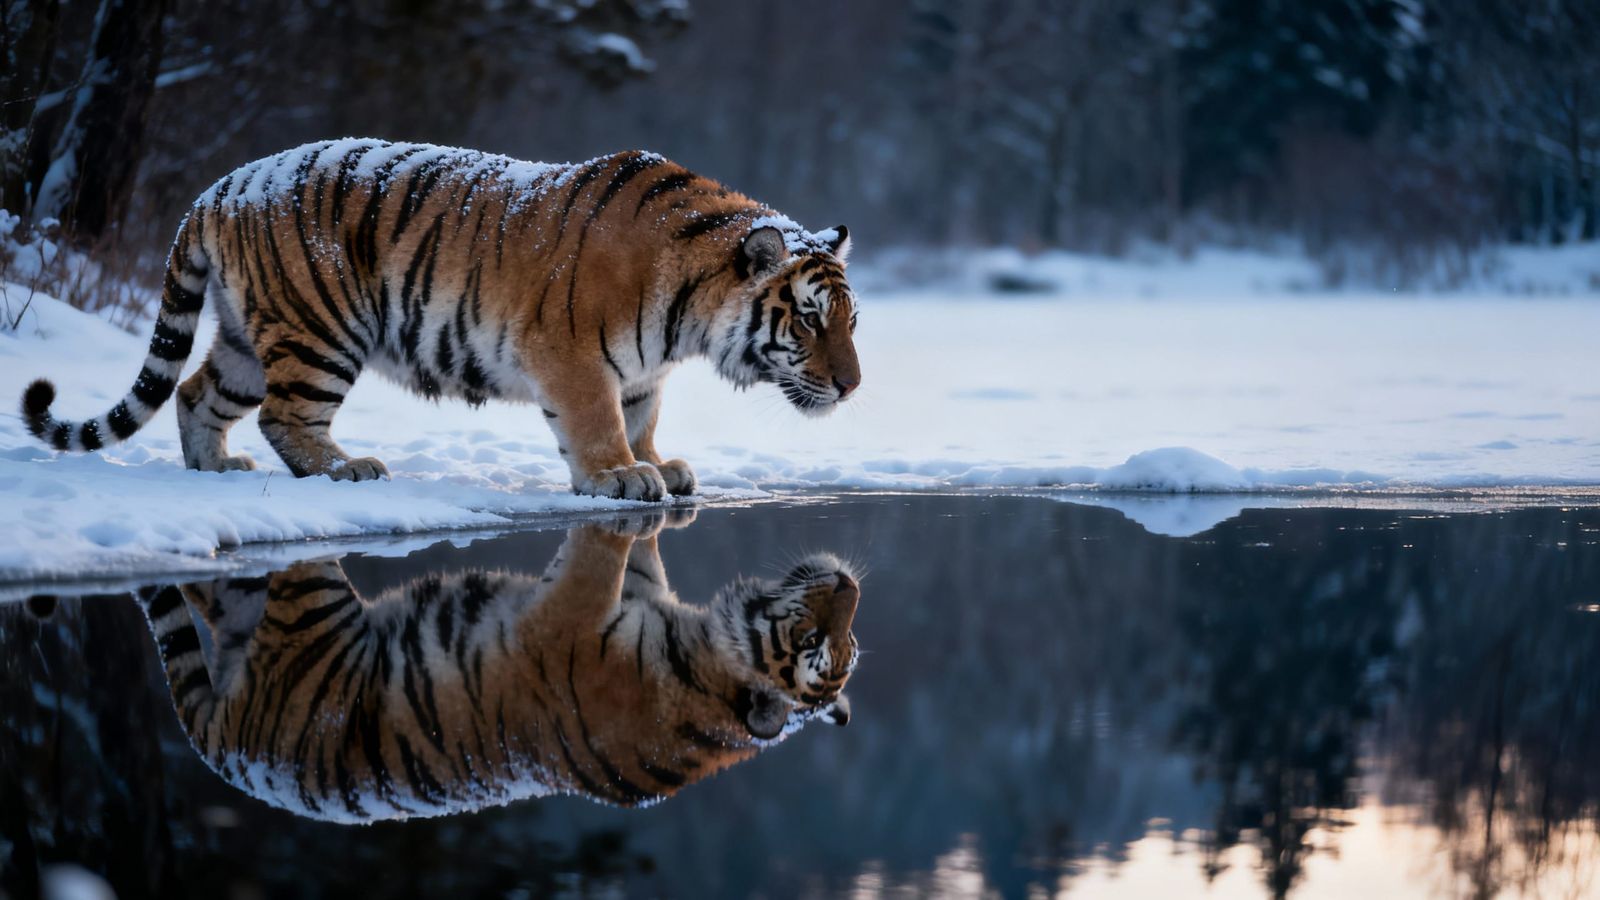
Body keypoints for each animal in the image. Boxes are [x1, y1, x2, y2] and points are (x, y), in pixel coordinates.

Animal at [20, 139, 862, 500]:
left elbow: (641, 415)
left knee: (198, 395)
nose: (853, 388)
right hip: (321, 328)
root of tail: (217, 189)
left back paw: (213, 470)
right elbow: (597, 424)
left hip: (247, 340)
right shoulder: (573, 357)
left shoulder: (641, 371)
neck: (687, 309)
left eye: (851, 324)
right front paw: (622, 476)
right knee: (286, 418)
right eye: (809, 321)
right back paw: (347, 470)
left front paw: (661, 462)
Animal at [135, 512, 860, 823]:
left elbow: (597, 552)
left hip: (310, 614)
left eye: (817, 638)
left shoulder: (571, 607)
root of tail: (227, 752)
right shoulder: (639, 593)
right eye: (834, 643)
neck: (704, 669)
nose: (850, 584)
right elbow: (639, 542)